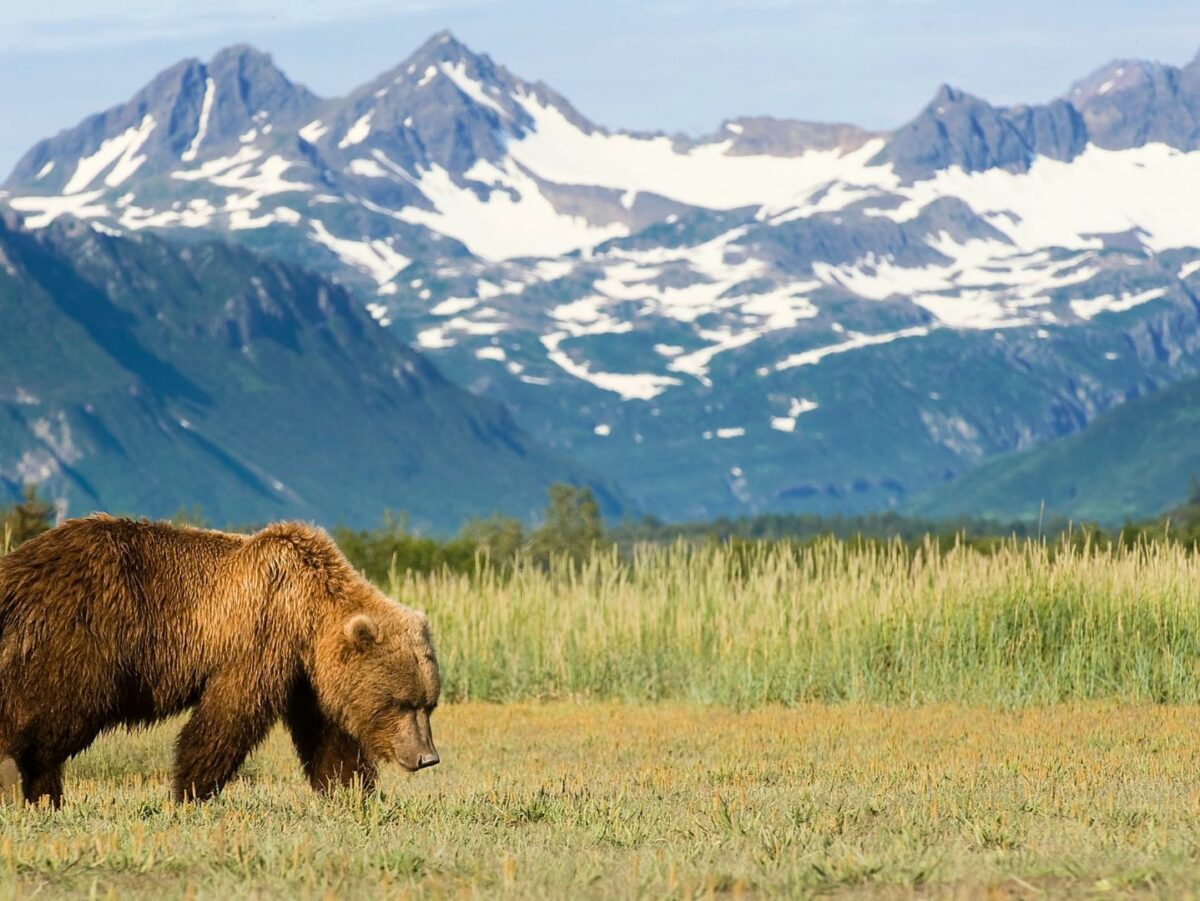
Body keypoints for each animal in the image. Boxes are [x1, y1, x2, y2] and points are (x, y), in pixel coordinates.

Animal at [0, 514, 440, 806]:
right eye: (401, 703)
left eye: (428, 704)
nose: (427, 757)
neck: (308, 611)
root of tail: (18, 568)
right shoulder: (260, 635)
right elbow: (228, 717)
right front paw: (189, 791)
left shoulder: (308, 676)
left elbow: (328, 736)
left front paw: (352, 792)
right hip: (84, 638)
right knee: (53, 711)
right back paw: (22, 780)